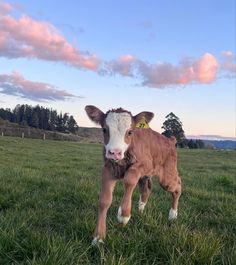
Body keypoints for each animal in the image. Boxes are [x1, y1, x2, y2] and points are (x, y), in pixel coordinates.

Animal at [85, 105, 183, 243]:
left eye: (130, 132)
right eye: (104, 129)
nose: (114, 152)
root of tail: (170, 140)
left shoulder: (144, 164)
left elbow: (129, 179)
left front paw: (124, 215)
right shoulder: (108, 169)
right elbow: (104, 201)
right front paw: (98, 237)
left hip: (167, 175)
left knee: (177, 186)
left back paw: (173, 215)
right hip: (146, 176)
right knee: (146, 189)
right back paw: (140, 210)